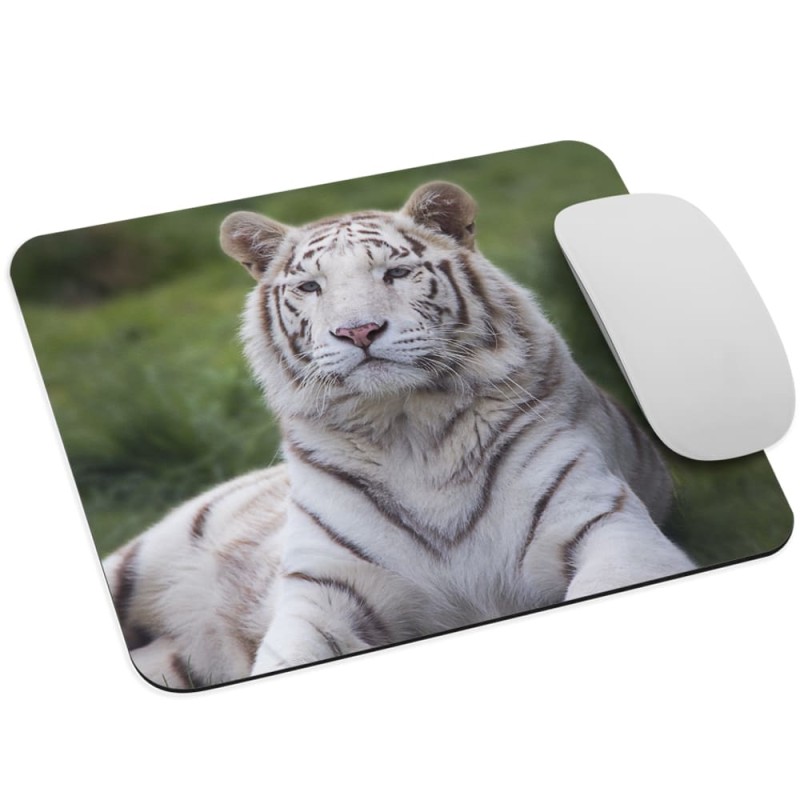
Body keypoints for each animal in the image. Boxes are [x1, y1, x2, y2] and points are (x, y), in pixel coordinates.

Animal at [102, 181, 695, 690]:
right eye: (310, 286)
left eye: (396, 273)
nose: (358, 331)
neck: (409, 431)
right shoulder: (325, 590)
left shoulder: (603, 524)